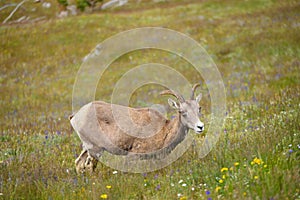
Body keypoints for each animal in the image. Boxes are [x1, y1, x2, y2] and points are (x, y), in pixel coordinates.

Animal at [69, 83, 204, 173]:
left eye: (199, 108)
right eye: (182, 111)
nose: (200, 126)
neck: (163, 129)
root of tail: (75, 116)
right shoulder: (132, 156)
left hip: (86, 147)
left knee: (79, 163)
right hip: (95, 149)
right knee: (89, 166)